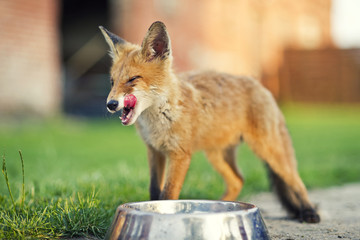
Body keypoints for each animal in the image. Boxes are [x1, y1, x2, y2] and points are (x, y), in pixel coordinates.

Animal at [99, 21, 320, 223]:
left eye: (132, 79)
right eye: (112, 82)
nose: (110, 104)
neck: (158, 122)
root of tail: (261, 86)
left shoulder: (180, 155)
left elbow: (168, 194)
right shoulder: (154, 151)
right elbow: (154, 191)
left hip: (268, 150)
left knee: (297, 181)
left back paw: (309, 212)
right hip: (216, 155)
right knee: (238, 180)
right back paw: (221, 205)